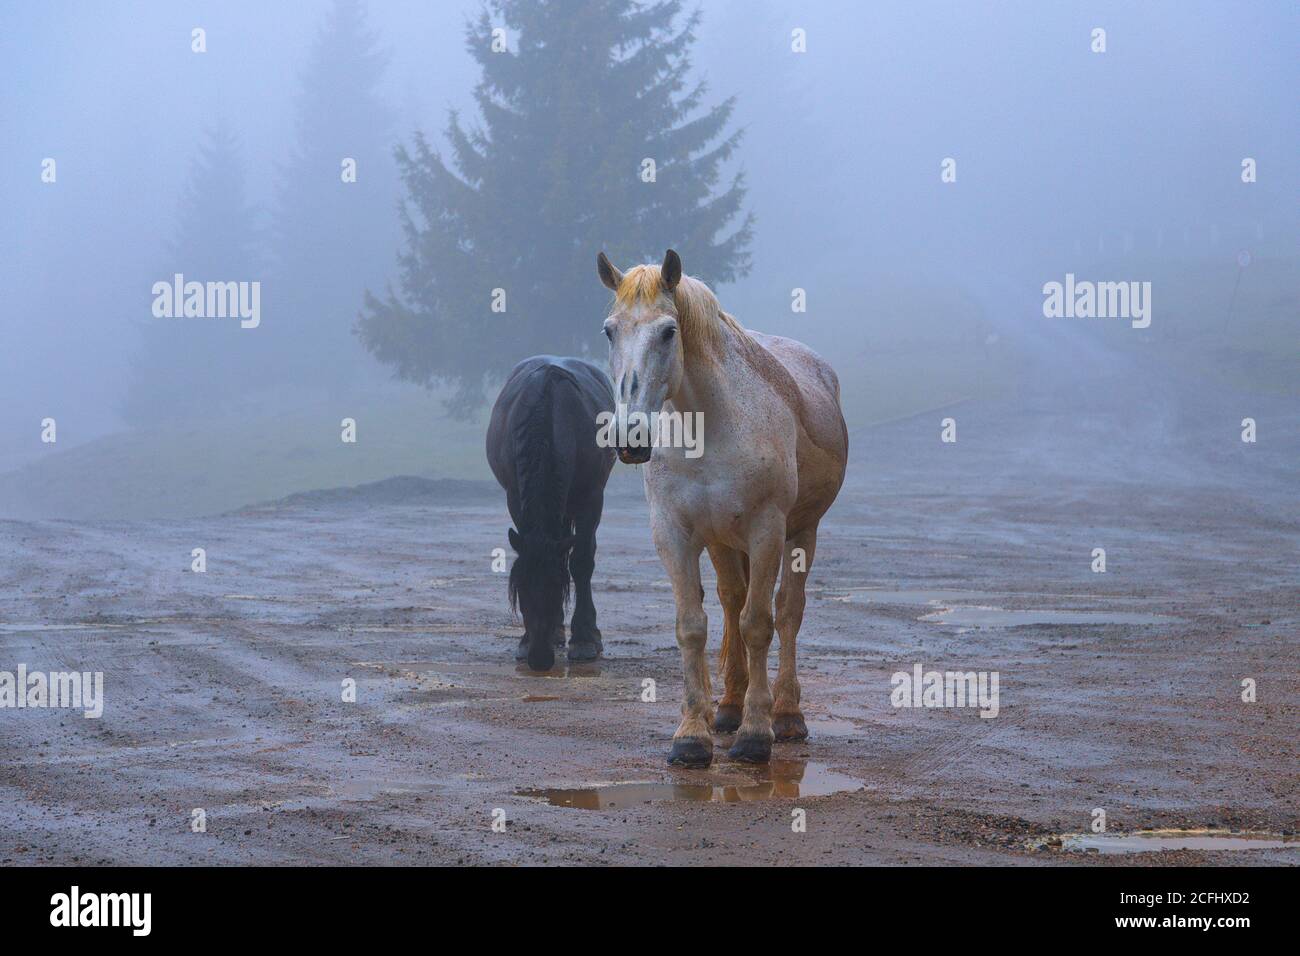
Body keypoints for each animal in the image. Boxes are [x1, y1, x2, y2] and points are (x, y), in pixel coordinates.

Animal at [486, 356, 616, 671]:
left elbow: (581, 563)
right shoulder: (514, 496)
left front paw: (584, 639)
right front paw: (526, 640)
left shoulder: (591, 498)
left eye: (558, 587)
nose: (540, 658)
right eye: (520, 590)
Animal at [595, 251, 847, 764]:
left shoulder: (767, 531)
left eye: (669, 331)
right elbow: (693, 626)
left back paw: (786, 715)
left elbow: (759, 624)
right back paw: (729, 706)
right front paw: (692, 735)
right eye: (610, 330)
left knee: (787, 612)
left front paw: (756, 734)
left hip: (801, 533)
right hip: (722, 542)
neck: (712, 427)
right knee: (732, 601)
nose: (630, 437)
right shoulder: (676, 535)